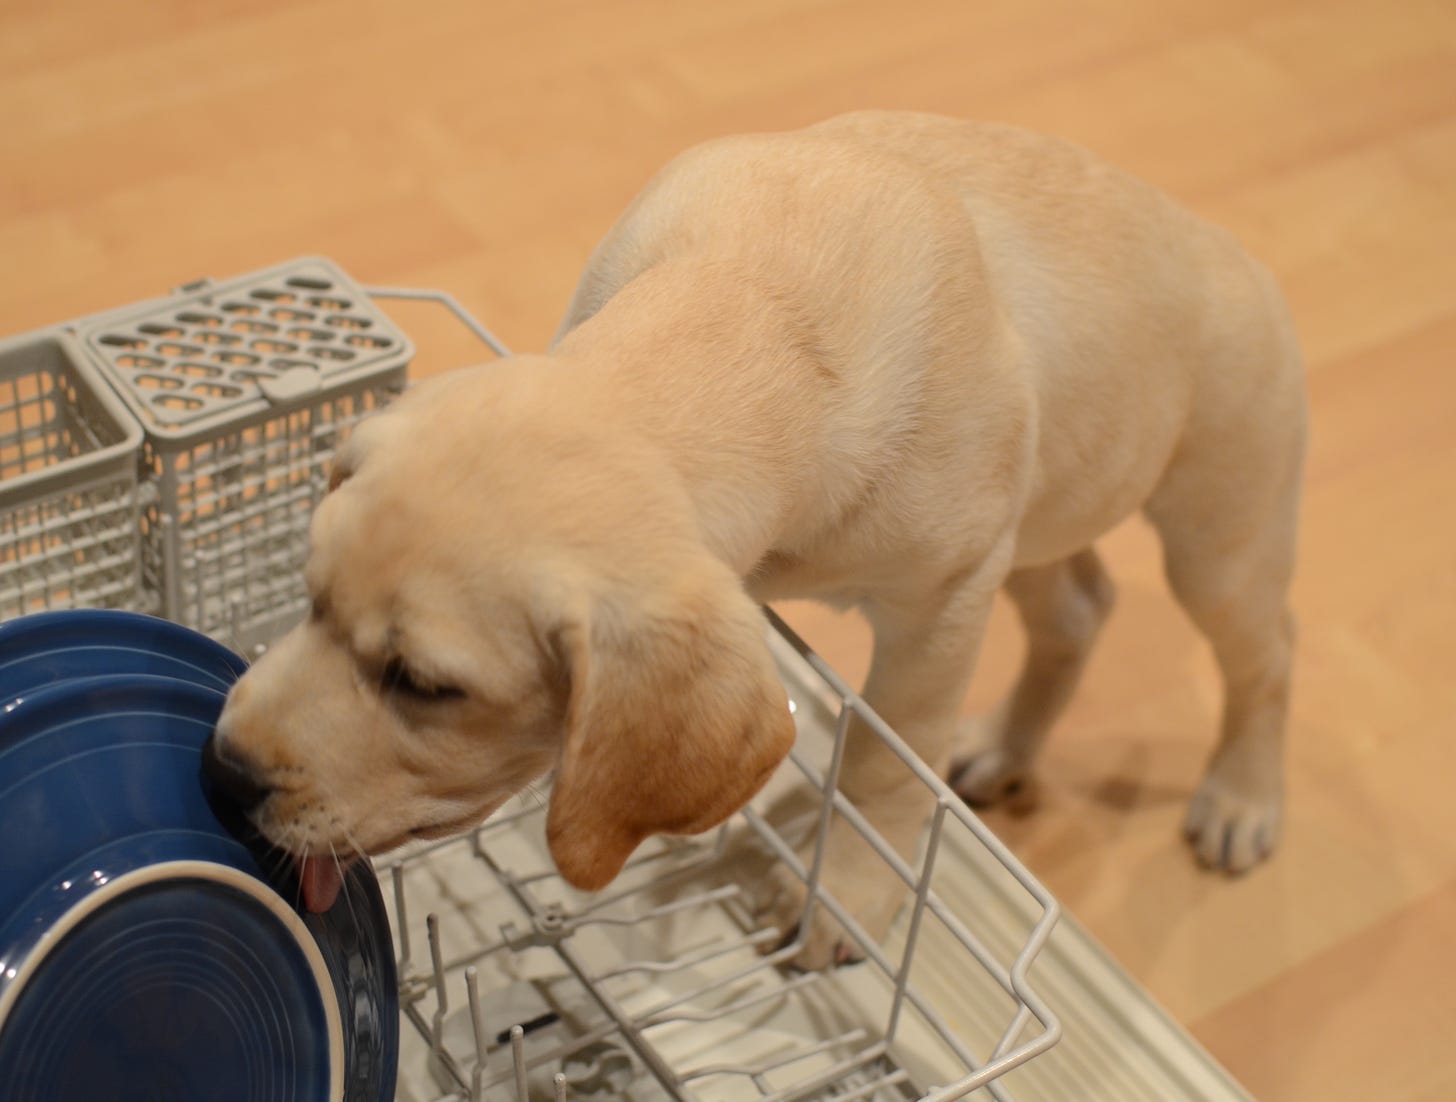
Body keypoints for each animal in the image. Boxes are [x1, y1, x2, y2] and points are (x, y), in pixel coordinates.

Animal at [208, 112, 1310, 960]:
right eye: (307, 599)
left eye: (427, 687)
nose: (220, 773)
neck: (755, 321)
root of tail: (1243, 256)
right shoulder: (969, 565)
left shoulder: (942, 607)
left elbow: (882, 764)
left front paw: (846, 899)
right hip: (1037, 519)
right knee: (1082, 607)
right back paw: (1002, 746)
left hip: (1214, 533)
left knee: (1266, 656)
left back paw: (1243, 799)